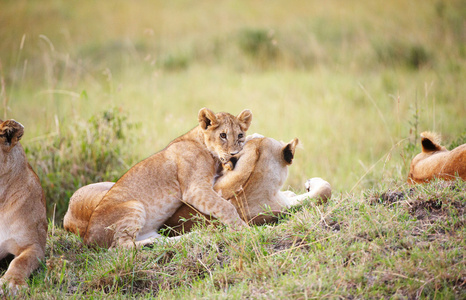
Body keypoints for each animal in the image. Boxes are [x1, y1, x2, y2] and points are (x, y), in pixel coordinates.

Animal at [64, 108, 251, 248]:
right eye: (223, 135)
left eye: (240, 135)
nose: (234, 154)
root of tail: (87, 239)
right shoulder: (195, 189)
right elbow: (226, 207)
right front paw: (246, 230)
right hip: (134, 205)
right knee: (120, 247)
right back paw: (150, 245)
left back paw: (190, 236)